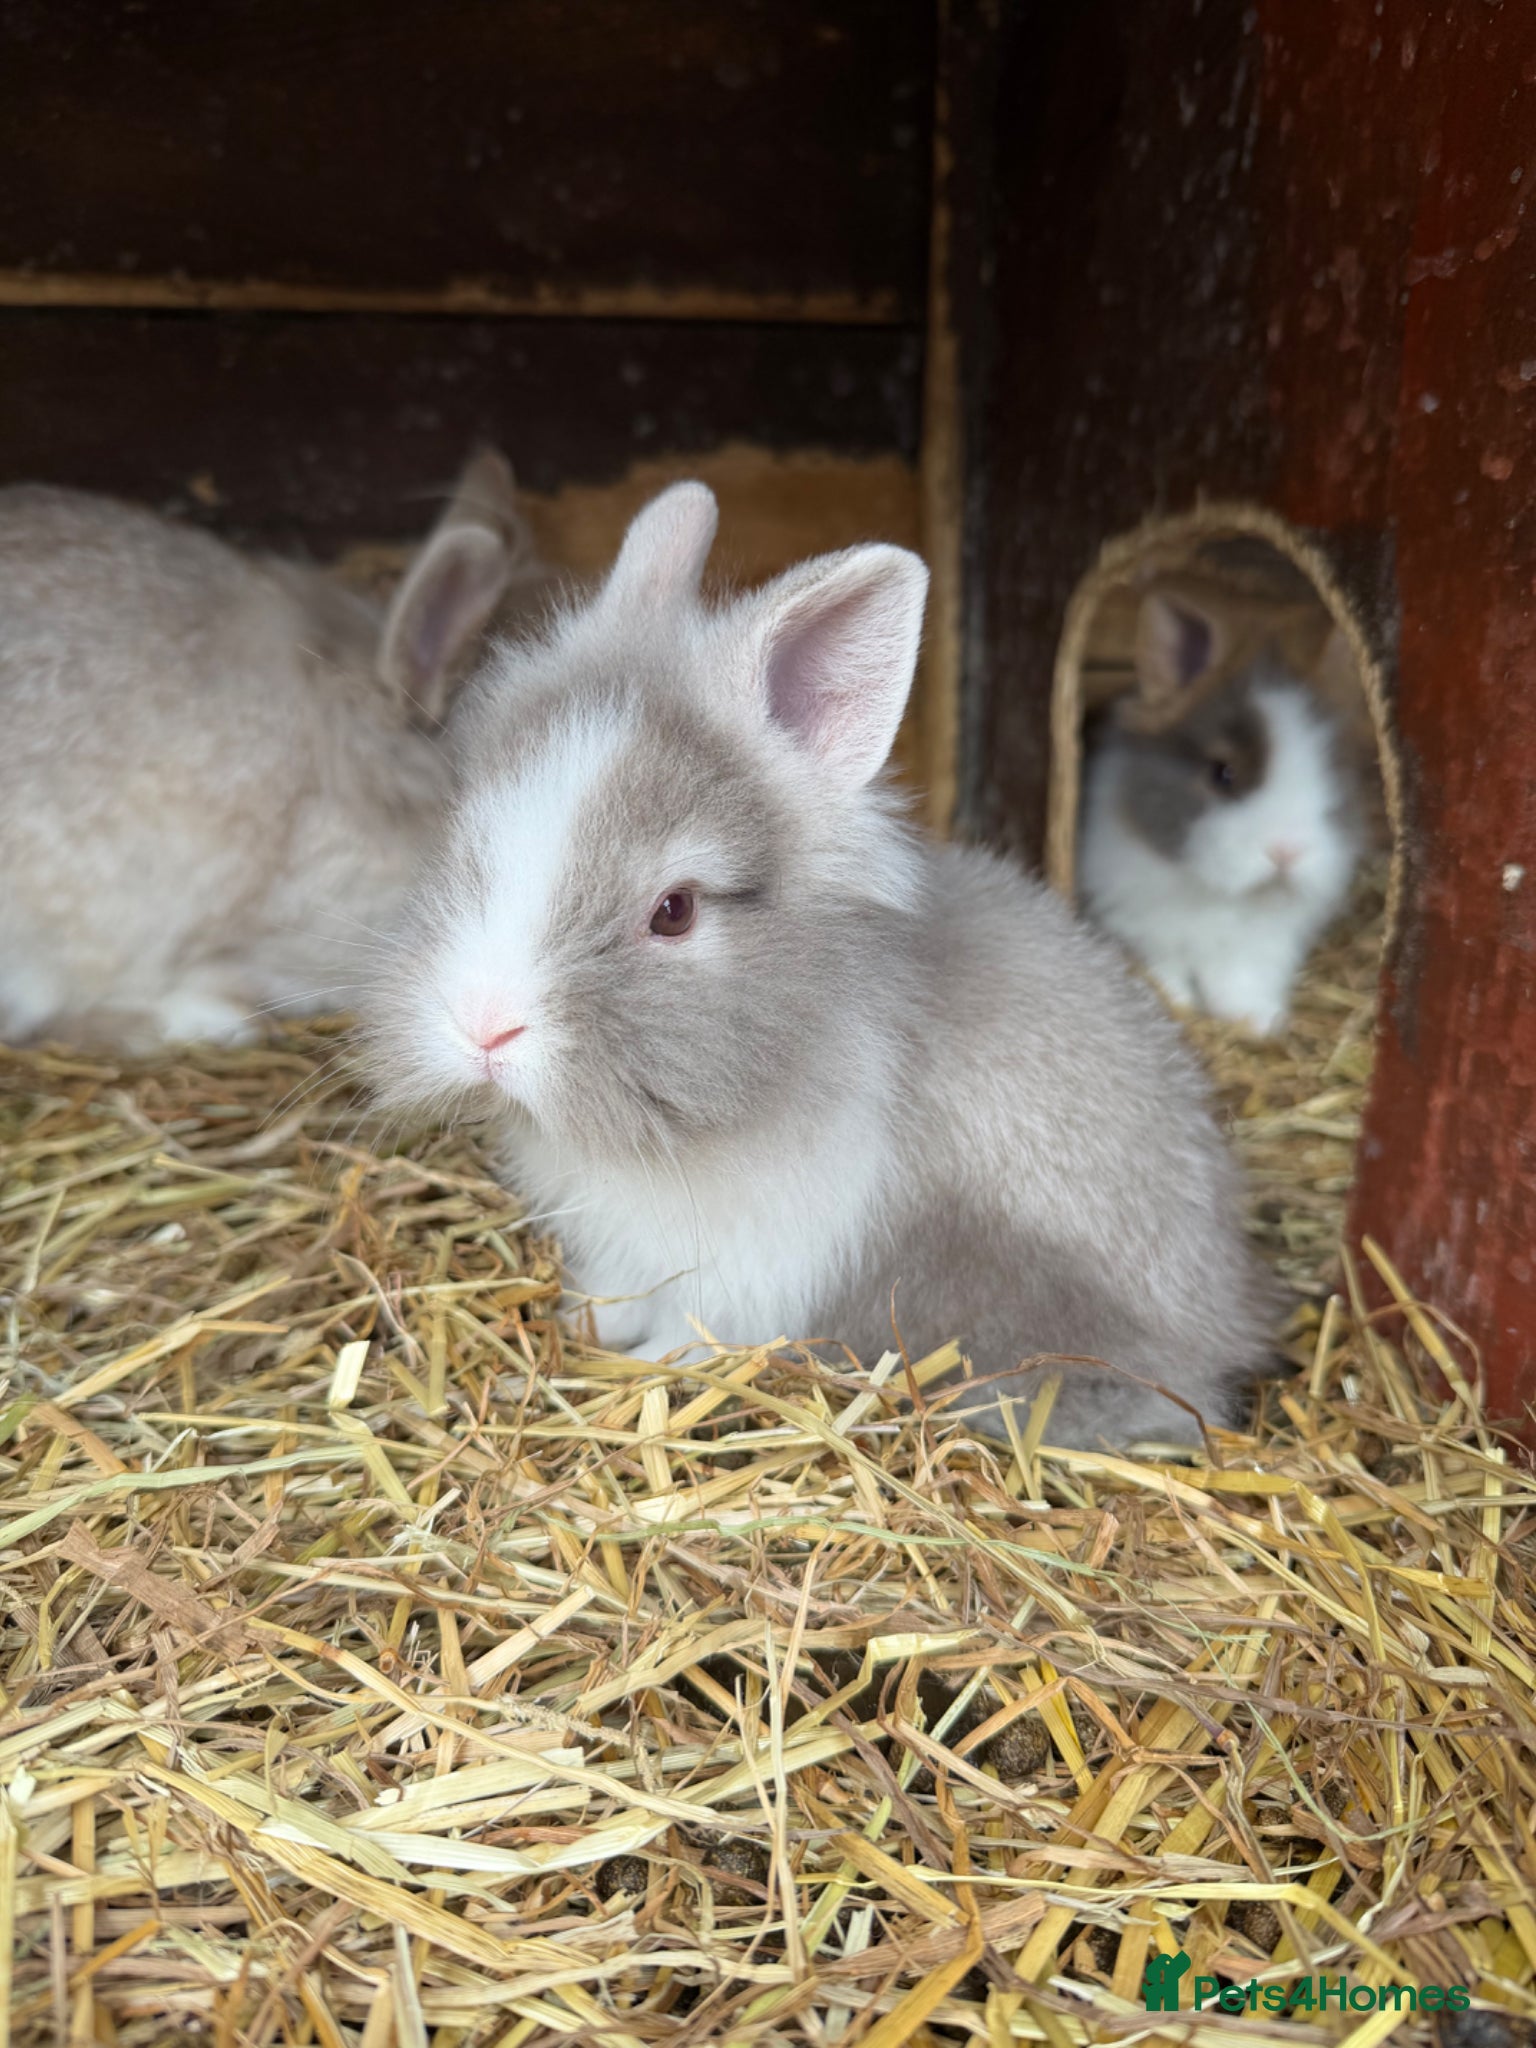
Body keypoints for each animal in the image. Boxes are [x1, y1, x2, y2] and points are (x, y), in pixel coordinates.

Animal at [363, 482, 1277, 1452]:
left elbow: (694, 1334)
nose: (483, 1026)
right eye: (468, 841)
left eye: (675, 911)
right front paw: (589, 1321)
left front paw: (647, 1364)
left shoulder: (753, 1267)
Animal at [1077, 589, 1364, 1037]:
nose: (1286, 852)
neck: (1218, 896)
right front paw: (1176, 1006)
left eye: (1330, 771)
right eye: (1222, 773)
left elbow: (1239, 983)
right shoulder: (1138, 927)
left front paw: (1258, 1022)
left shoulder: (1258, 948)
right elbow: (1166, 972)